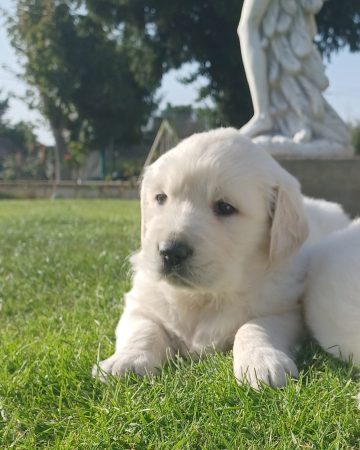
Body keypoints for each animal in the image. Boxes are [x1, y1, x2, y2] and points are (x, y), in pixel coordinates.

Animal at [93, 128, 348, 388]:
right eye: (161, 198)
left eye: (225, 207)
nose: (170, 252)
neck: (204, 297)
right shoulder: (141, 303)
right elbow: (144, 329)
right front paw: (126, 361)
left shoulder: (285, 309)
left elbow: (254, 325)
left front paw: (261, 362)